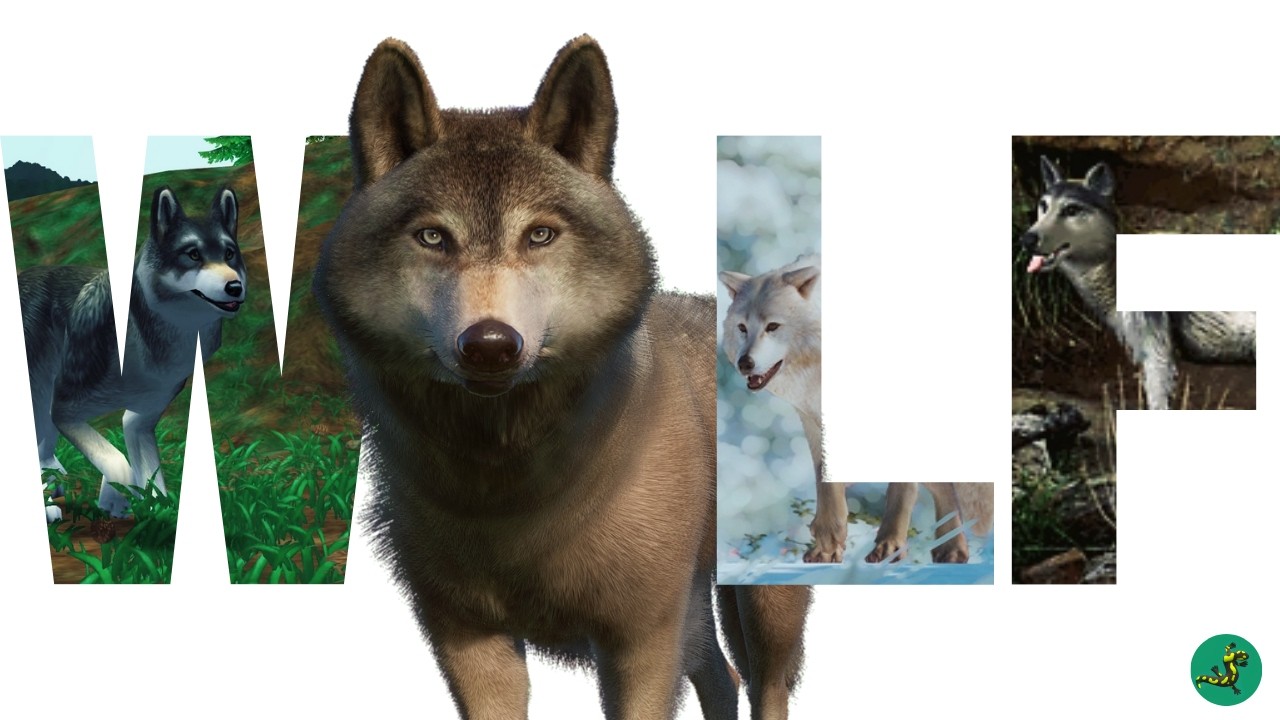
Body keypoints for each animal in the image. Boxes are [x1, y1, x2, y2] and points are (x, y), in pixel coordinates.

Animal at [21, 186, 245, 521]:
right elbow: (118, 463)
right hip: (40, 399)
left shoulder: (139, 420)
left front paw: (148, 509)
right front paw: (118, 498)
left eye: (229, 254)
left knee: (43, 454)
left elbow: (149, 478)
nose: (235, 287)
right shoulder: (64, 408)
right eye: (193, 255)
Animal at [314, 37, 809, 719]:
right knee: (723, 678)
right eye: (433, 236)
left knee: (764, 687)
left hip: (761, 611)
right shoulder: (467, 640)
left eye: (540, 234)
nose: (490, 346)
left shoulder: (640, 640)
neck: (505, 490)